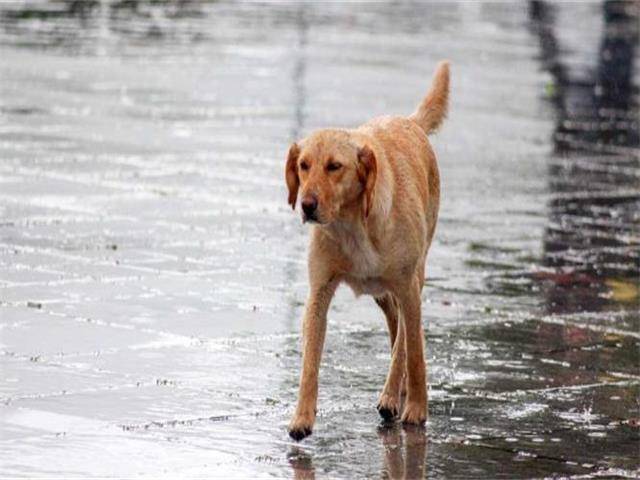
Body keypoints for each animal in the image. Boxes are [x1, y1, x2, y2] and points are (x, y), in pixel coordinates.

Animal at [282, 62, 448, 440]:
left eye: (334, 166)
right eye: (303, 165)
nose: (307, 205)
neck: (352, 225)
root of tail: (410, 122)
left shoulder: (408, 287)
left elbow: (414, 350)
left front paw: (417, 409)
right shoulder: (319, 293)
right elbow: (310, 362)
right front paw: (302, 416)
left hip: (413, 278)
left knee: (405, 337)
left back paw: (396, 394)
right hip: (380, 291)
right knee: (395, 322)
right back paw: (395, 391)